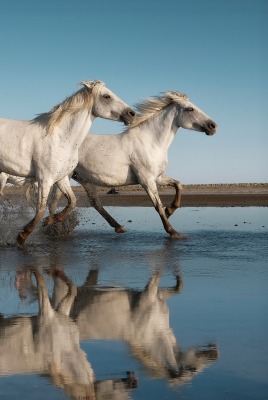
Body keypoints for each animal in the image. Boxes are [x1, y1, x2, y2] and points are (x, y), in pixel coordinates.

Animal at [0, 81, 135, 244]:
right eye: (106, 96)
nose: (132, 114)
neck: (60, 138)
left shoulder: (61, 177)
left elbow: (72, 201)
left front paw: (51, 220)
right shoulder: (45, 178)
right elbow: (41, 209)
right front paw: (22, 236)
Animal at [50, 90, 218, 238]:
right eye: (190, 108)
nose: (213, 126)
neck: (151, 142)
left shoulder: (158, 177)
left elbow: (179, 185)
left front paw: (170, 210)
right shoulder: (146, 180)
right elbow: (157, 205)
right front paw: (173, 231)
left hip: (85, 179)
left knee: (95, 203)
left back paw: (118, 227)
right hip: (65, 176)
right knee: (55, 201)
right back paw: (53, 224)